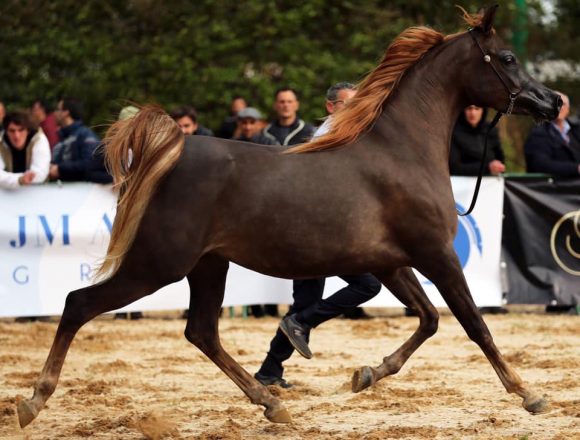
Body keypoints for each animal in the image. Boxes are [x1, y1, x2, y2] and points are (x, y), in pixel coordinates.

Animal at [17, 5, 560, 428]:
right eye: (507, 58)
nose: (552, 102)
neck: (400, 151)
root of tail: (175, 149)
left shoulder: (389, 263)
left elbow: (428, 320)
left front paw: (366, 375)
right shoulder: (436, 254)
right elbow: (474, 324)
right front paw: (529, 394)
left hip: (208, 265)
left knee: (201, 332)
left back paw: (271, 404)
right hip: (158, 264)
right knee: (78, 304)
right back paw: (33, 401)